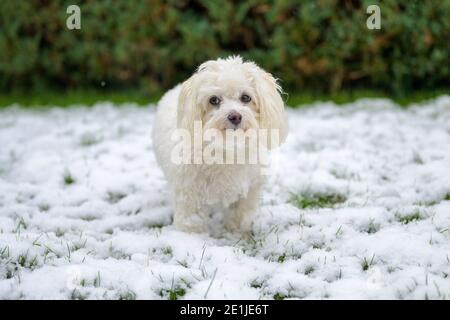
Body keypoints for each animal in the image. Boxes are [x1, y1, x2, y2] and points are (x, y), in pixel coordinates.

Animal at [153, 56, 288, 234]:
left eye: (246, 97)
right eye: (214, 100)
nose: (235, 116)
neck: (226, 148)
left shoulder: (248, 189)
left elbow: (239, 215)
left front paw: (236, 234)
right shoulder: (189, 191)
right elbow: (191, 220)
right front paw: (190, 237)